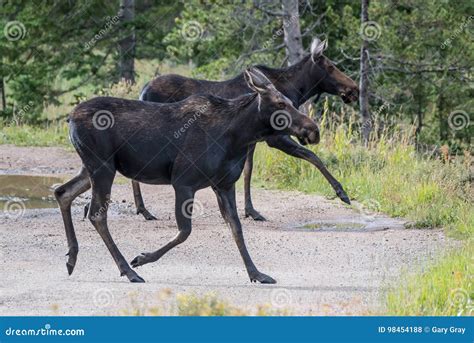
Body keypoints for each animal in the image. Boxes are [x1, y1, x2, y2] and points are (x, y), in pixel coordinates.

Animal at [55, 68, 320, 284]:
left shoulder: (223, 185)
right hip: (102, 167)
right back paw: (128, 271)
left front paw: (256, 274)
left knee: (62, 192)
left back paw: (71, 259)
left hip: (93, 167)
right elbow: (185, 231)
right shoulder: (183, 182)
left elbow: (236, 229)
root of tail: (70, 118)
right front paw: (142, 258)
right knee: (95, 213)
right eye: (280, 104)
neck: (237, 137)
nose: (313, 130)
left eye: (290, 101)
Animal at [128, 37, 358, 220]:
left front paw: (250, 210)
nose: (354, 89)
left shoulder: (252, 141)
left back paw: (143, 209)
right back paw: (144, 210)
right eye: (331, 67)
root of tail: (143, 91)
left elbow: (248, 172)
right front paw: (342, 193)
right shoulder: (274, 137)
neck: (297, 90)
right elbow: (313, 156)